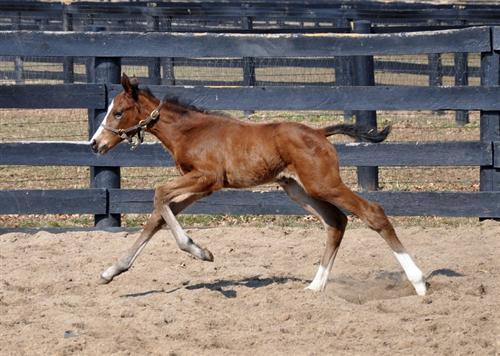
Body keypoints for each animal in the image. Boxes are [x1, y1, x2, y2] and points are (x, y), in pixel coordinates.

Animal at [90, 74, 426, 294]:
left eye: (118, 112)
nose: (95, 144)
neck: (190, 132)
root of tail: (319, 133)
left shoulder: (207, 178)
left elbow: (159, 194)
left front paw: (200, 251)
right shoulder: (202, 187)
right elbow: (158, 217)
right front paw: (110, 272)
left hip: (324, 183)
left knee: (372, 212)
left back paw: (419, 282)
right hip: (298, 188)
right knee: (336, 221)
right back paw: (315, 287)